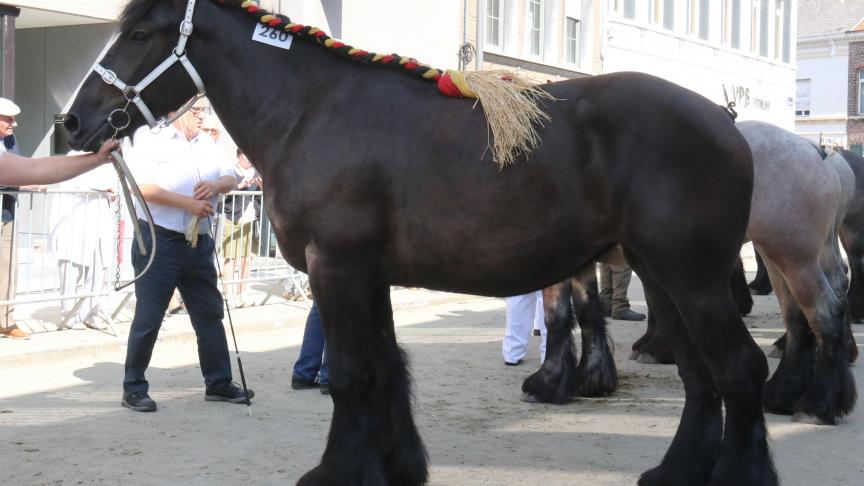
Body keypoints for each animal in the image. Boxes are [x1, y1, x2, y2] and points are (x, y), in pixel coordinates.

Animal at [60, 1, 776, 484]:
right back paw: (676, 472)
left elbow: (351, 374)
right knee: (700, 377)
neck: (312, 111)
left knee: (739, 371)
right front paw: (396, 465)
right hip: (662, 277)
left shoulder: (337, 271)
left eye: (140, 34)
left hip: (693, 279)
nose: (73, 121)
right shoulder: (367, 277)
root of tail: (728, 125)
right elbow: (384, 368)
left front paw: (336, 473)